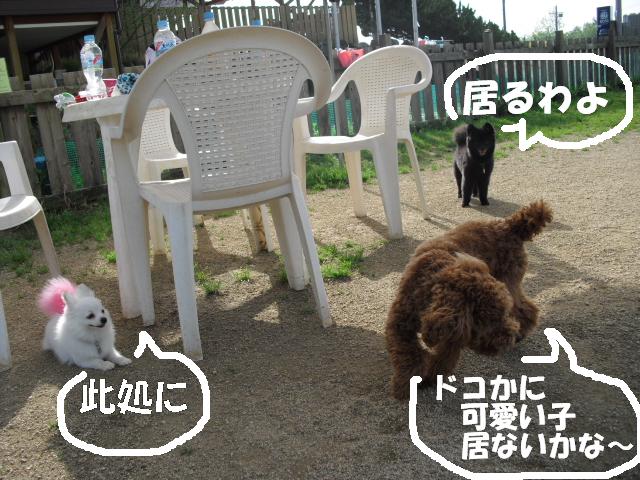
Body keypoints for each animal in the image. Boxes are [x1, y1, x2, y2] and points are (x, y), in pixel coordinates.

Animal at [386, 200, 552, 400]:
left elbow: (442, 361)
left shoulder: (452, 337)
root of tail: (510, 225)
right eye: (488, 322)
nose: (509, 338)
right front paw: (406, 384)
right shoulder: (400, 323)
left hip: (508, 279)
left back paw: (522, 332)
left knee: (525, 309)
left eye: (501, 316)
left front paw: (428, 380)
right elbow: (408, 355)